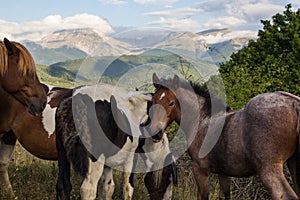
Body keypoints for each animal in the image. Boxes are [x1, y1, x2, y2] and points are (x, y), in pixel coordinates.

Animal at [148, 73, 300, 200]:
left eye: (171, 103)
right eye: (152, 101)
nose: (156, 133)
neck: (203, 120)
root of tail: (293, 103)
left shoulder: (201, 170)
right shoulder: (224, 173)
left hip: (269, 171)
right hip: (293, 164)